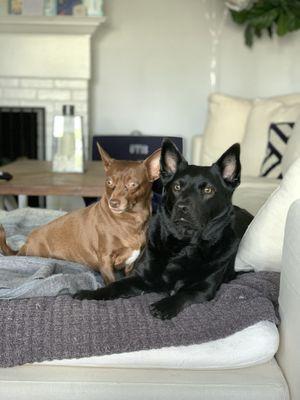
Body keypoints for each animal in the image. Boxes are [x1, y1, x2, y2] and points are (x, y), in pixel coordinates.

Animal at [0, 145, 161, 284]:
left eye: (133, 184)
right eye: (109, 182)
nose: (113, 202)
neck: (130, 220)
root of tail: (25, 245)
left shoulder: (130, 264)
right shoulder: (105, 260)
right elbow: (111, 282)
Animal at [74, 139, 252, 320]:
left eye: (208, 190)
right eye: (177, 187)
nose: (182, 208)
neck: (183, 246)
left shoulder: (203, 289)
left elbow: (183, 294)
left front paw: (163, 306)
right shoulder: (141, 278)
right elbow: (115, 285)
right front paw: (90, 294)